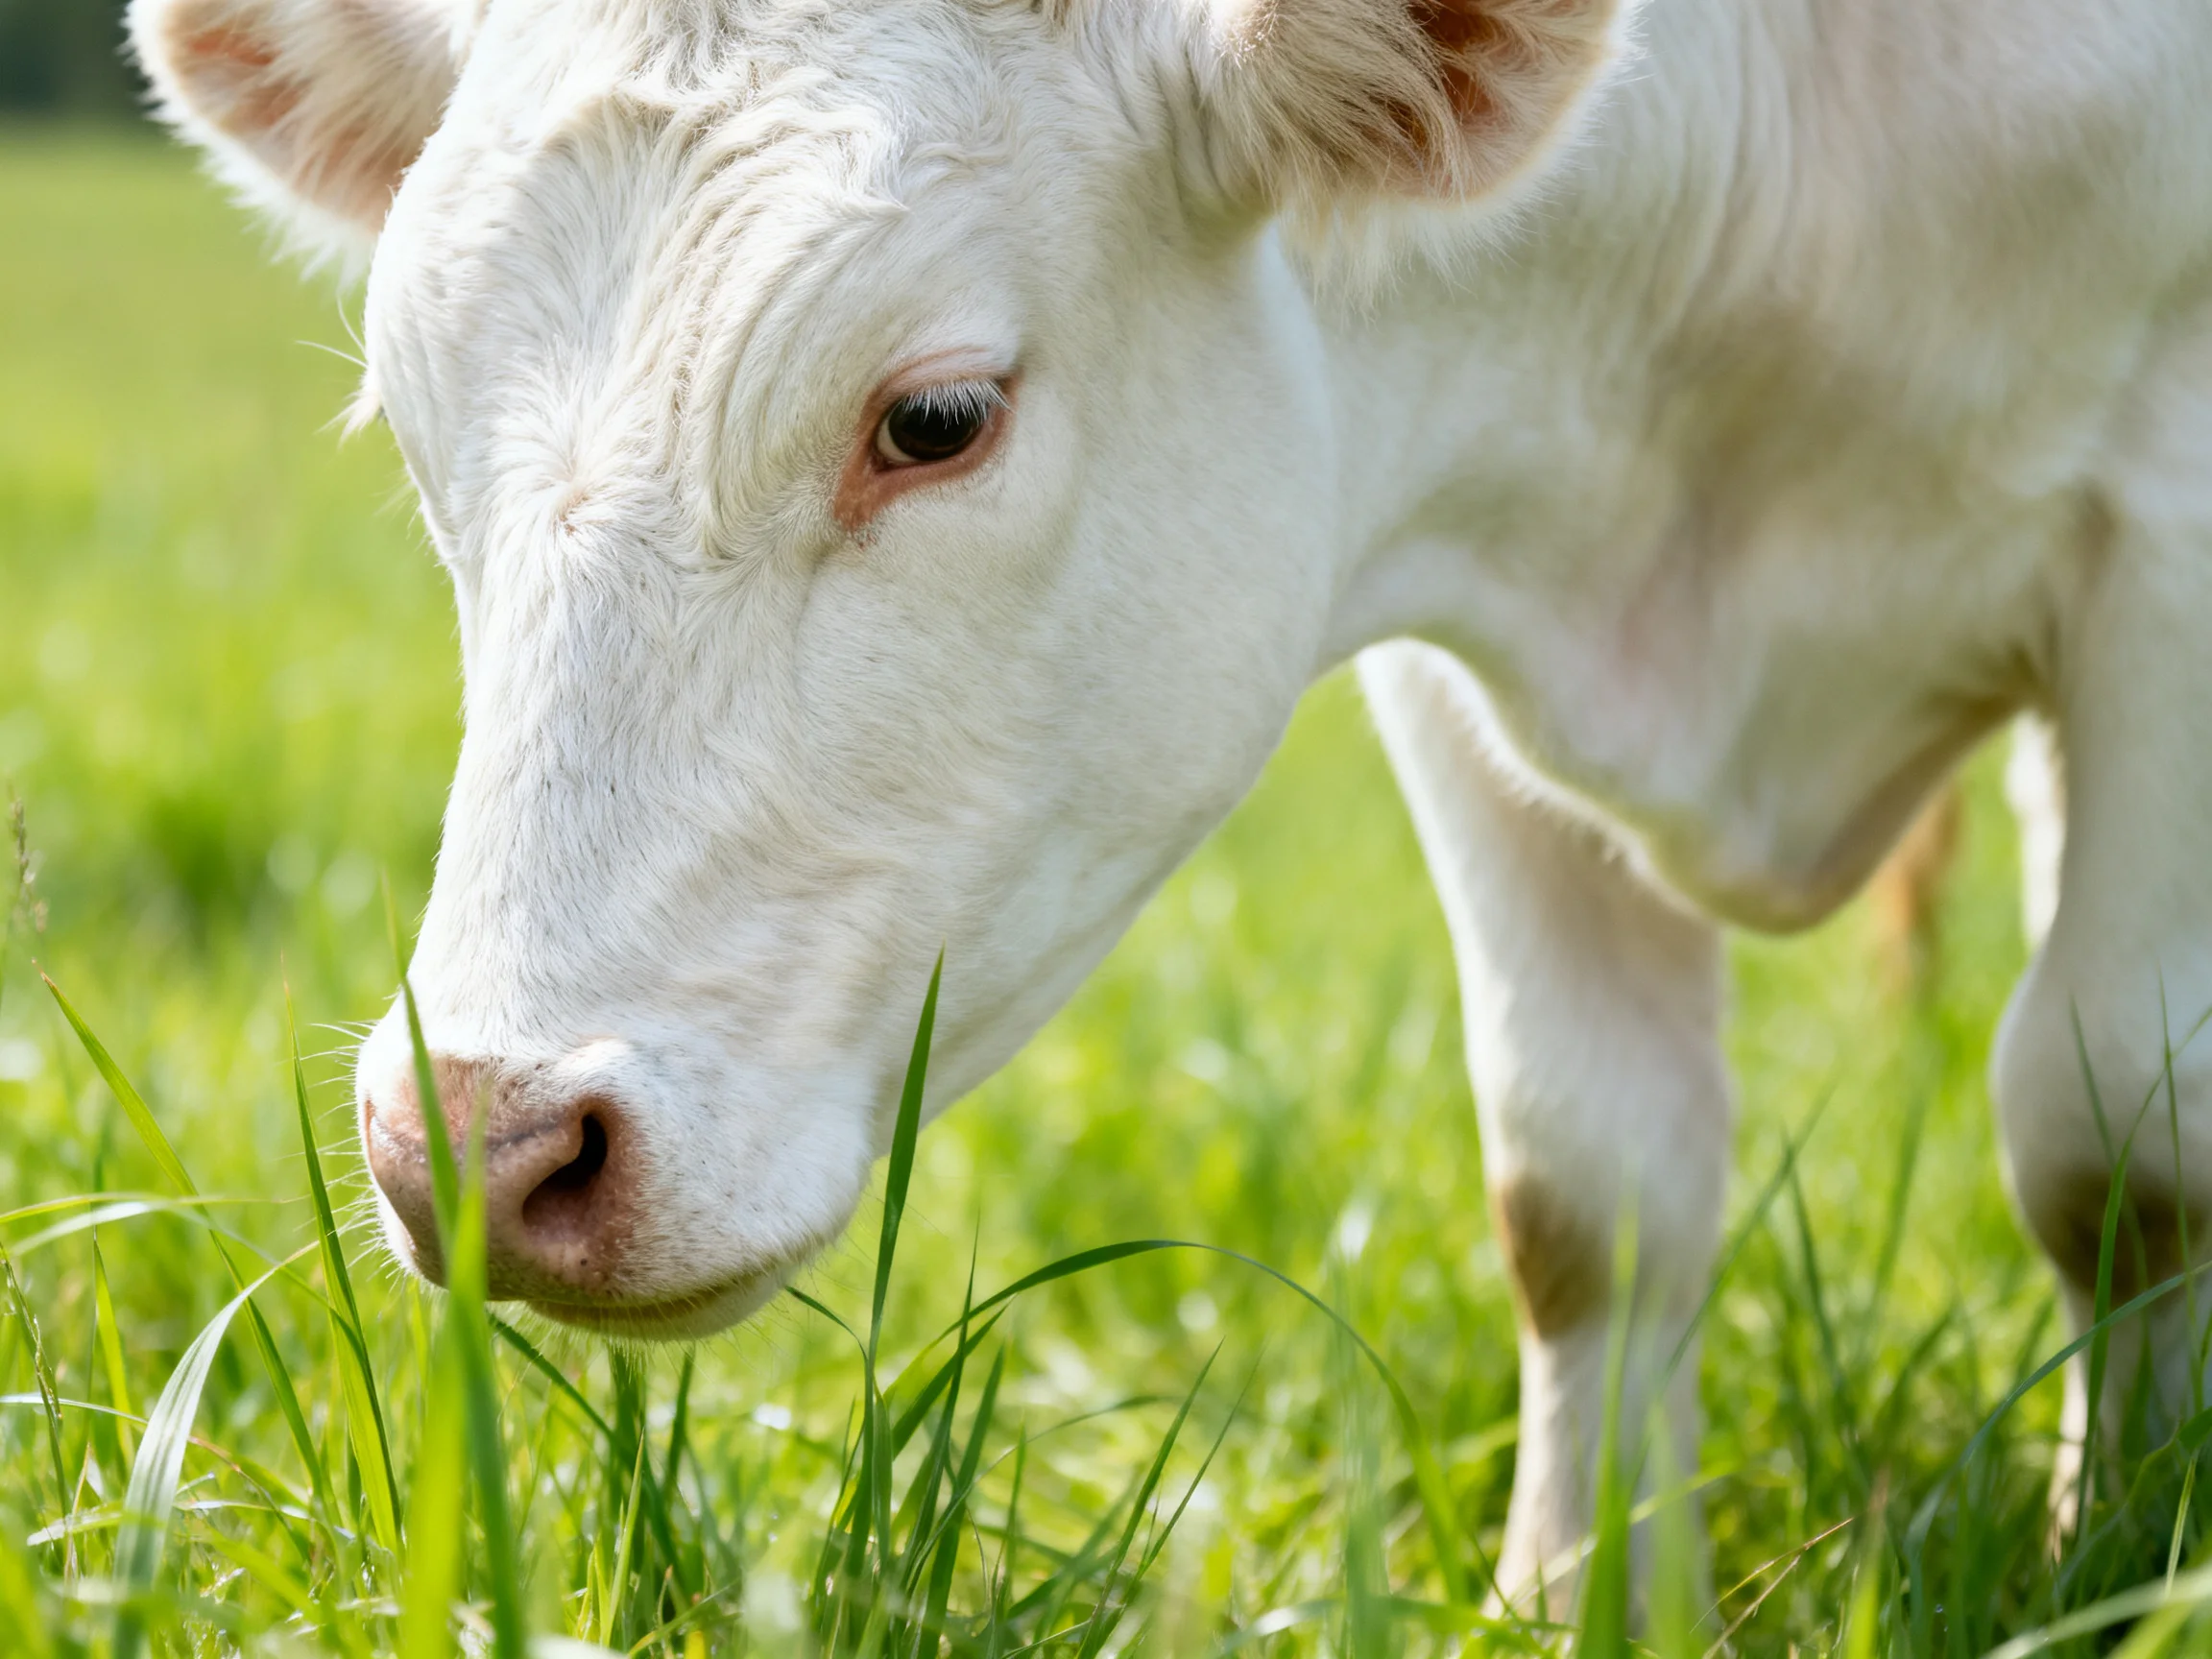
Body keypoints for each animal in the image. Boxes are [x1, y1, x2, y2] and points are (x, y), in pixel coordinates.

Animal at [129, 0, 2212, 1608]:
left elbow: (2122, 1135)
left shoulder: (2164, 539)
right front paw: (1586, 1593)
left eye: (937, 418)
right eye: (413, 435)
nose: (474, 1145)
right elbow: (1584, 1178)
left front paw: (2124, 1553)